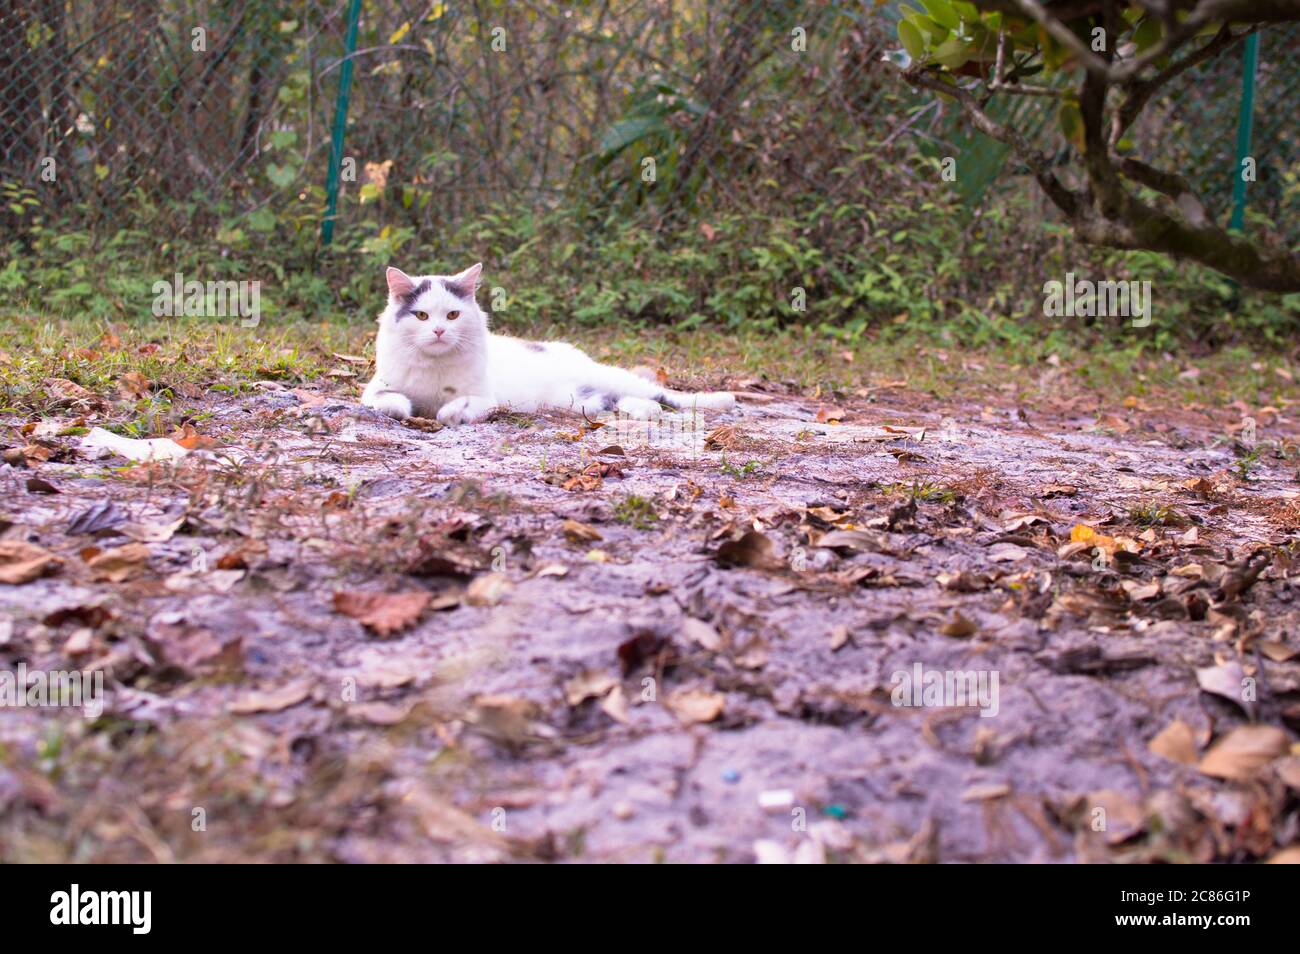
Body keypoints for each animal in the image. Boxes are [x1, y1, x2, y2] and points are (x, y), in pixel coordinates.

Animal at [361, 261, 738, 426]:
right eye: (422, 316)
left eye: (453, 315)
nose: (439, 331)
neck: (435, 368)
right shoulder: (375, 391)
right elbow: (392, 401)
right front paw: (408, 410)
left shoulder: (484, 399)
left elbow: (453, 409)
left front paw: (443, 414)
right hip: (580, 400)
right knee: (621, 401)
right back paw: (642, 411)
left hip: (612, 379)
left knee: (667, 394)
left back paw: (721, 399)